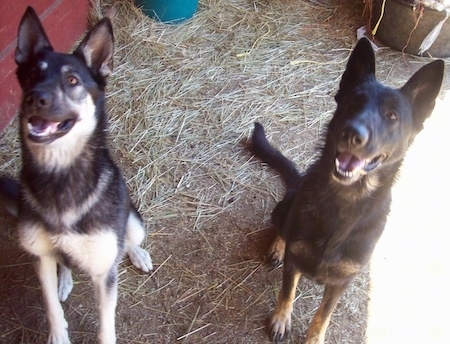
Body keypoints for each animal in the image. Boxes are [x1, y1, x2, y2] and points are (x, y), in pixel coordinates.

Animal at [0, 7, 153, 344]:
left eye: (72, 80)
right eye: (32, 75)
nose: (35, 98)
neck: (60, 174)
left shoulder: (104, 273)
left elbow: (106, 324)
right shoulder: (41, 256)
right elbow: (51, 307)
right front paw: (58, 333)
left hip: (135, 224)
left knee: (128, 241)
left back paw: (137, 254)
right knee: (64, 265)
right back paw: (65, 281)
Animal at [251, 38, 444, 344]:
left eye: (392, 116)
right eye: (353, 102)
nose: (352, 133)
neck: (346, 201)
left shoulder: (343, 281)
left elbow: (323, 315)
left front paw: (314, 338)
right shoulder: (294, 261)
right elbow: (287, 292)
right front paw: (281, 319)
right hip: (283, 208)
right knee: (282, 228)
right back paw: (277, 246)